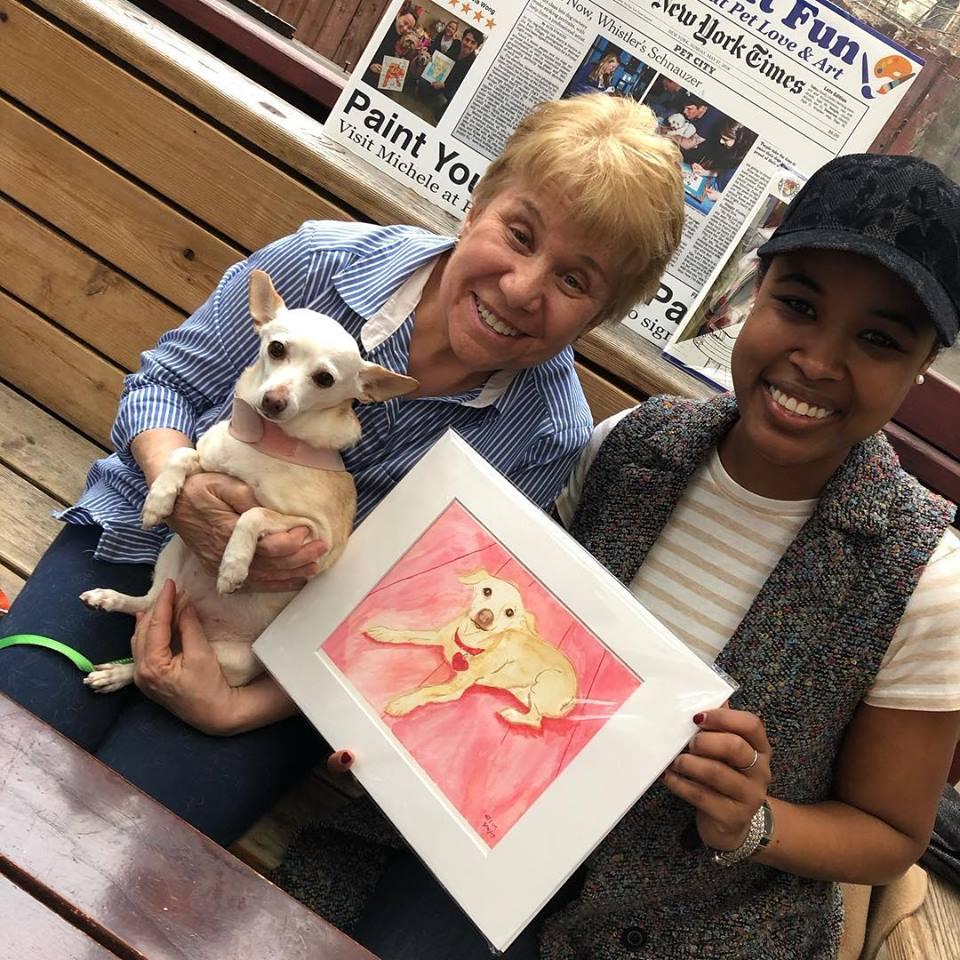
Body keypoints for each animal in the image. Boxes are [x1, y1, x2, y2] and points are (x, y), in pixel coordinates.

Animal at [80, 269, 417, 693]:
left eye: (324, 378)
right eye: (276, 349)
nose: (274, 400)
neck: (266, 442)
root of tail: (187, 611)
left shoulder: (314, 535)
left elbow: (253, 513)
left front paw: (233, 566)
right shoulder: (208, 461)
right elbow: (181, 455)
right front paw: (157, 501)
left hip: (226, 658)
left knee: (149, 666)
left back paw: (120, 671)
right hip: (172, 557)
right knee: (150, 603)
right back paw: (110, 600)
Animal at [365, 570, 578, 729]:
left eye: (509, 612)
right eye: (487, 591)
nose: (486, 616)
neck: (466, 642)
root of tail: (573, 697)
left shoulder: (455, 688)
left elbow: (427, 691)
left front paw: (401, 703)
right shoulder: (437, 636)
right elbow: (409, 634)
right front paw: (384, 633)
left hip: (543, 681)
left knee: (536, 720)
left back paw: (510, 715)